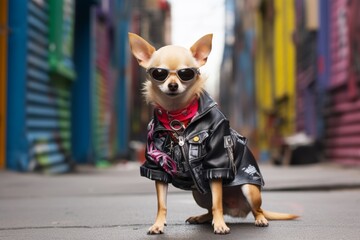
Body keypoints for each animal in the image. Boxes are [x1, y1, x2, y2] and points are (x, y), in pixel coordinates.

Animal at [129, 32, 298, 234]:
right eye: (159, 73)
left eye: (186, 73)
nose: (172, 85)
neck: (178, 115)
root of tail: (236, 210)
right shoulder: (159, 167)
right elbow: (162, 204)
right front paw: (158, 224)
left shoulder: (216, 163)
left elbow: (217, 201)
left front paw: (220, 225)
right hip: (199, 193)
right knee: (212, 208)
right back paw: (201, 217)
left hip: (250, 190)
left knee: (250, 209)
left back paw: (259, 219)